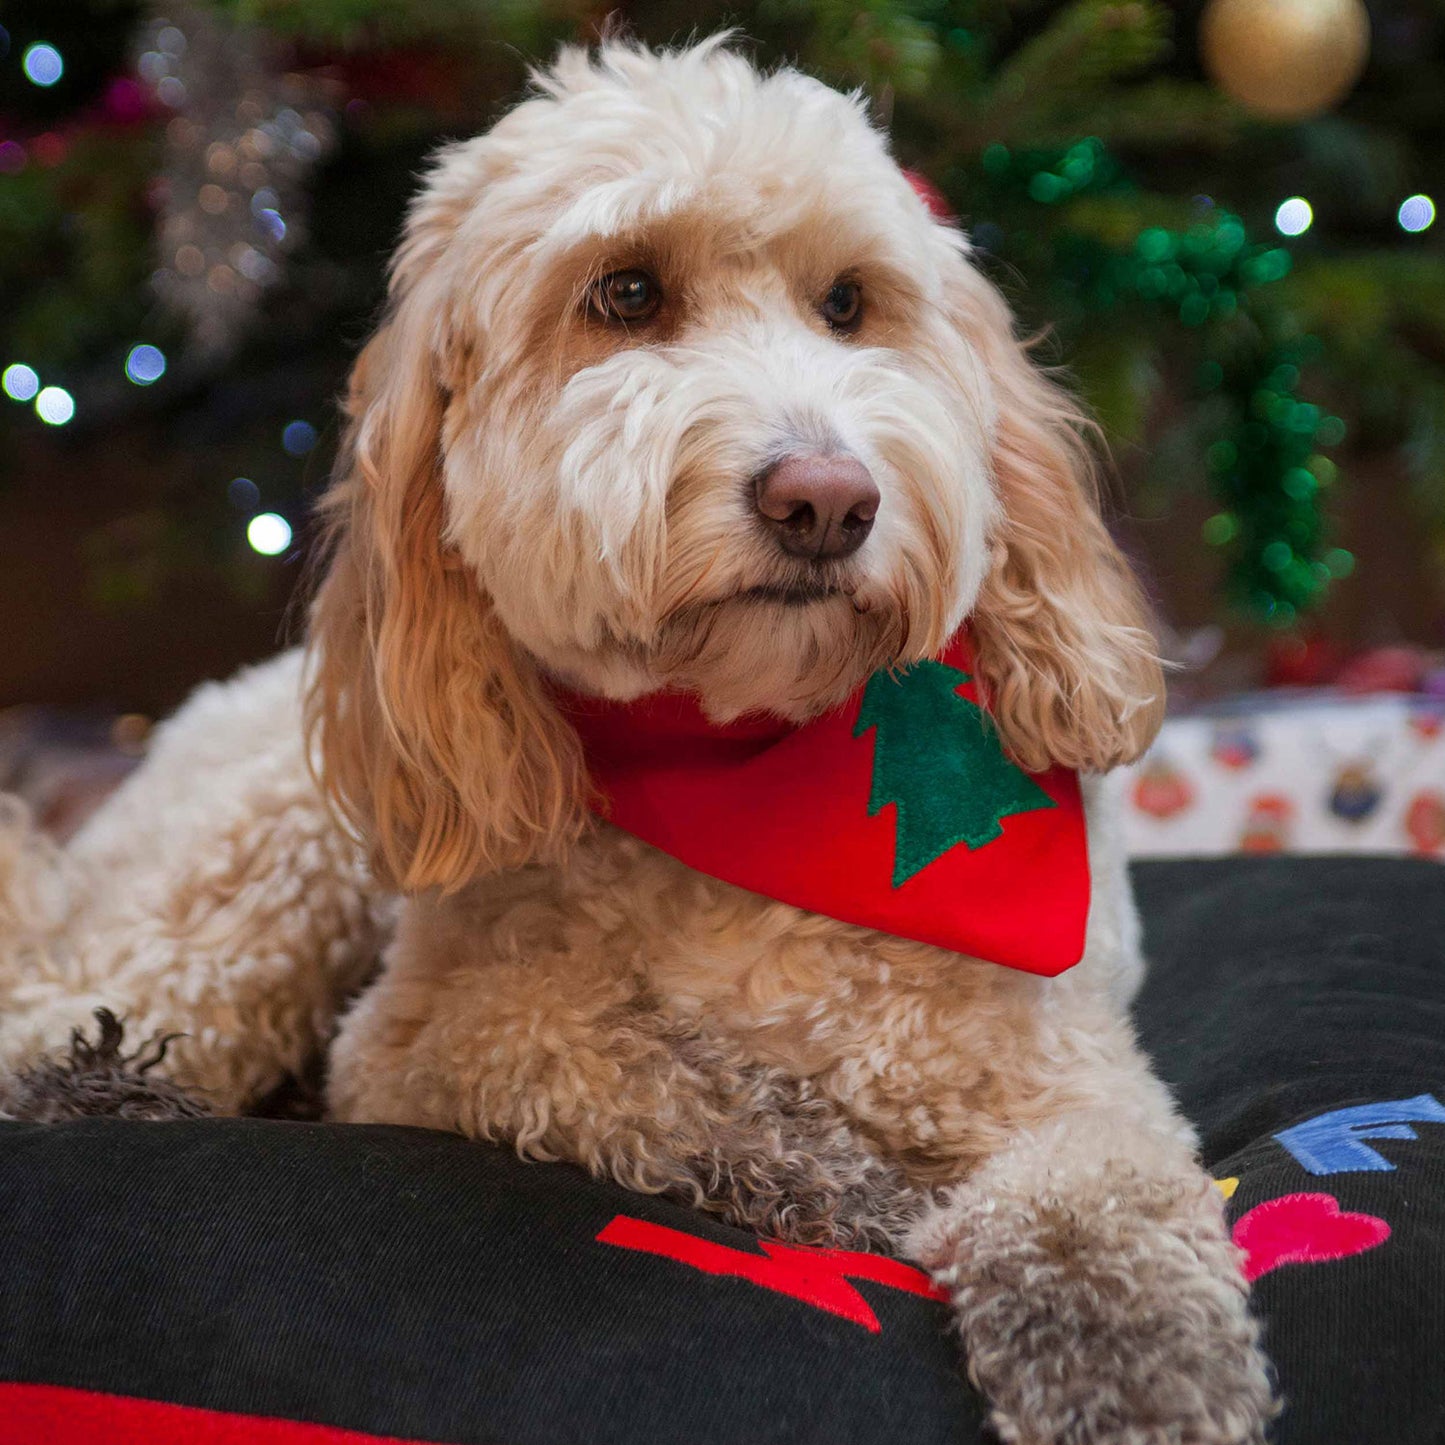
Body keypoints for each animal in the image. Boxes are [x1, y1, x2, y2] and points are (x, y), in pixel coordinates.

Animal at [8, 39, 1277, 1439]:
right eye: (624, 293)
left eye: (848, 302)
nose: (825, 500)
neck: (749, 762)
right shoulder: (420, 1044)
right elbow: (631, 1068)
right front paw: (833, 1173)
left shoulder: (1072, 1075)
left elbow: (1094, 1202)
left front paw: (1132, 1355)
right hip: (271, 867)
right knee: (59, 1026)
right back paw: (107, 1081)